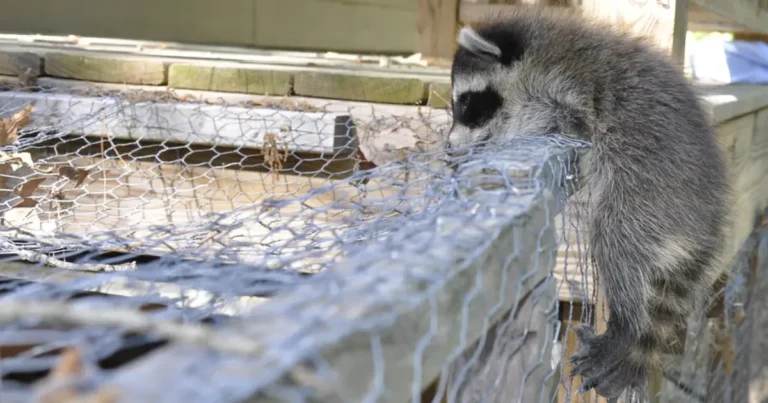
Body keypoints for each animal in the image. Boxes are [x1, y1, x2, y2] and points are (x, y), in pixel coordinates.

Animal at [450, 5, 732, 400]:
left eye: (465, 102)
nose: (451, 148)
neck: (533, 54)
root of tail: (707, 218)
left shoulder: (567, 85)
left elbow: (561, 122)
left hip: (653, 188)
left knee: (617, 235)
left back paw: (626, 322)